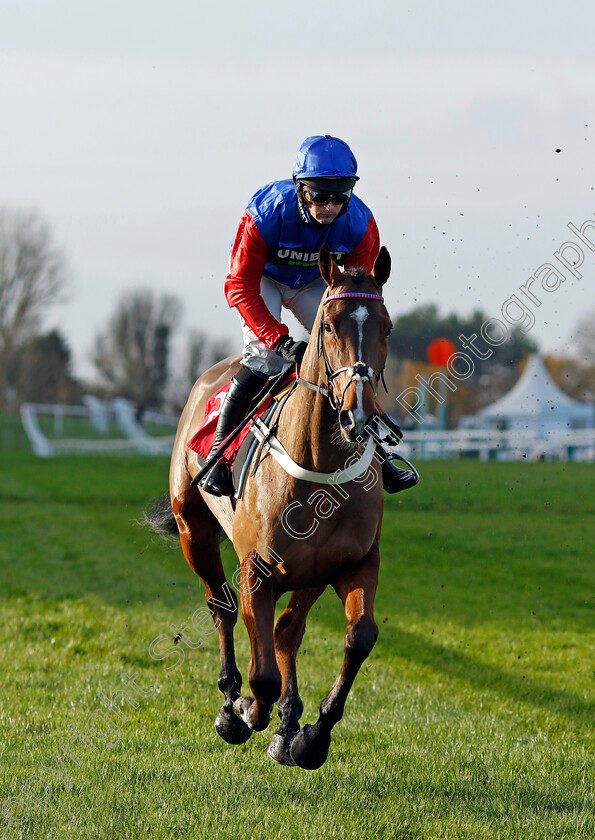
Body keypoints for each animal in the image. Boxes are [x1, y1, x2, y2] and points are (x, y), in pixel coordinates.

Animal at [147, 243, 394, 768]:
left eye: (387, 327)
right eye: (328, 326)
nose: (357, 414)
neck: (318, 465)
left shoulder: (352, 561)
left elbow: (357, 637)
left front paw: (308, 736)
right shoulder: (256, 569)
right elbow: (262, 674)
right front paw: (243, 711)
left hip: (307, 572)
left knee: (285, 632)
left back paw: (286, 721)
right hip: (193, 530)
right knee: (219, 606)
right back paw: (230, 700)